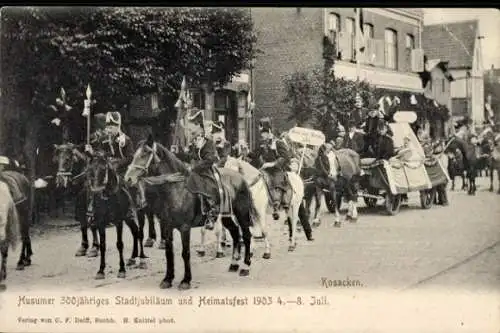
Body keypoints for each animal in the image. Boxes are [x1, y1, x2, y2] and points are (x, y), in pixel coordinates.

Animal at [123, 137, 260, 288]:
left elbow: (185, 253)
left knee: (246, 236)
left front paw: (186, 280)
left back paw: (245, 267)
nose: (128, 179)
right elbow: (169, 253)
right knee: (235, 233)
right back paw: (234, 264)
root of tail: (241, 178)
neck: (175, 189)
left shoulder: (185, 228)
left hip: (242, 214)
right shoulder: (167, 226)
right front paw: (167, 279)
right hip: (227, 217)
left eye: (145, 153)